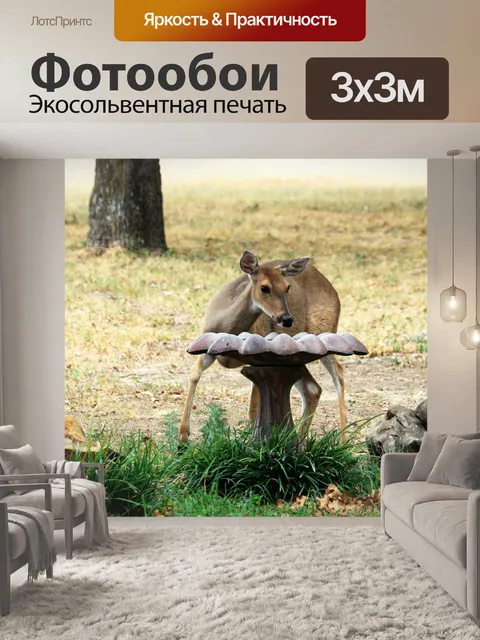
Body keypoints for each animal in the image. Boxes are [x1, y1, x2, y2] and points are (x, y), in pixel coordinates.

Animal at [179, 250, 346, 444]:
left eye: (287, 287)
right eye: (264, 288)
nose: (287, 319)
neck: (224, 326)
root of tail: (333, 291)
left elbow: (253, 408)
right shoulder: (208, 346)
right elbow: (194, 373)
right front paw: (182, 438)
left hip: (324, 332)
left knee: (338, 373)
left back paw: (343, 442)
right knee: (313, 388)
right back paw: (300, 442)